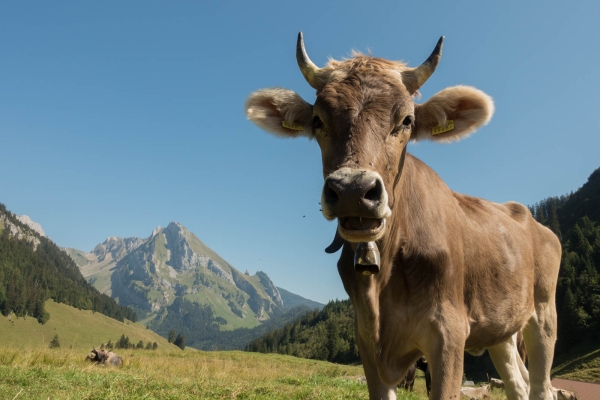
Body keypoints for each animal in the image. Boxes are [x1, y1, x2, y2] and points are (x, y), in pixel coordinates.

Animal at [245, 32, 564, 400]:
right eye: (317, 120)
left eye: (407, 120)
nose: (353, 190)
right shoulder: (367, 339)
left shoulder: (449, 334)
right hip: (502, 330)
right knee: (518, 384)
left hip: (543, 314)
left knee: (541, 385)